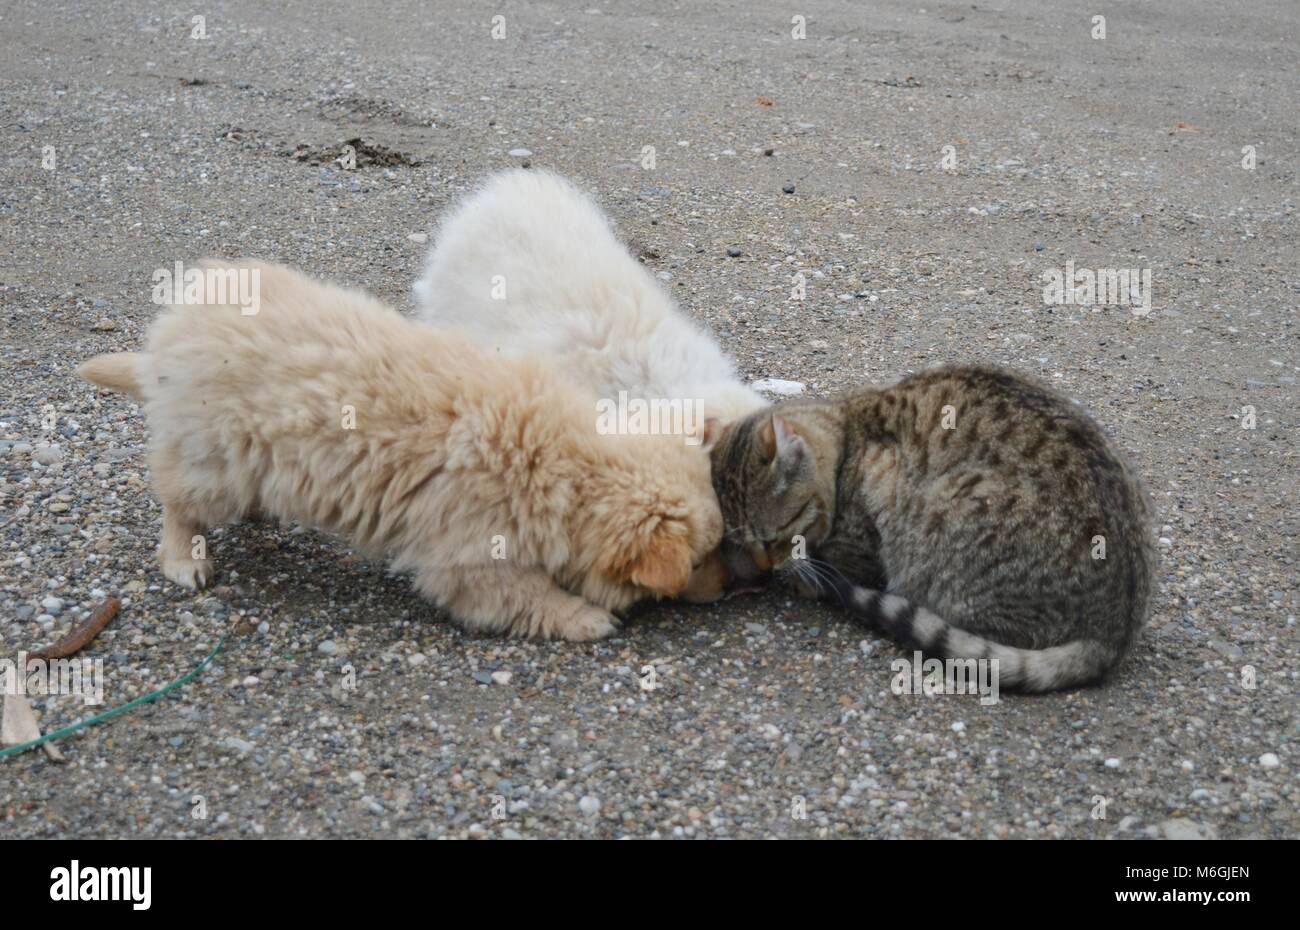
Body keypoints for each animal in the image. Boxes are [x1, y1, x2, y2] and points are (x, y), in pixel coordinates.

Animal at [77, 260, 728, 639]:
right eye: (700, 561)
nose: (728, 590)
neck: (561, 461)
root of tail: (172, 331)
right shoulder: (469, 560)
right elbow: (528, 596)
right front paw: (586, 618)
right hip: (214, 460)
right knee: (175, 498)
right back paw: (184, 558)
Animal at [712, 364, 1159, 691]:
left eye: (774, 536)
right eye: (739, 541)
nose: (765, 567)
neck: (848, 433)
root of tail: (1117, 631)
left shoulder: (877, 491)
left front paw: (803, 576)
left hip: (956, 511)